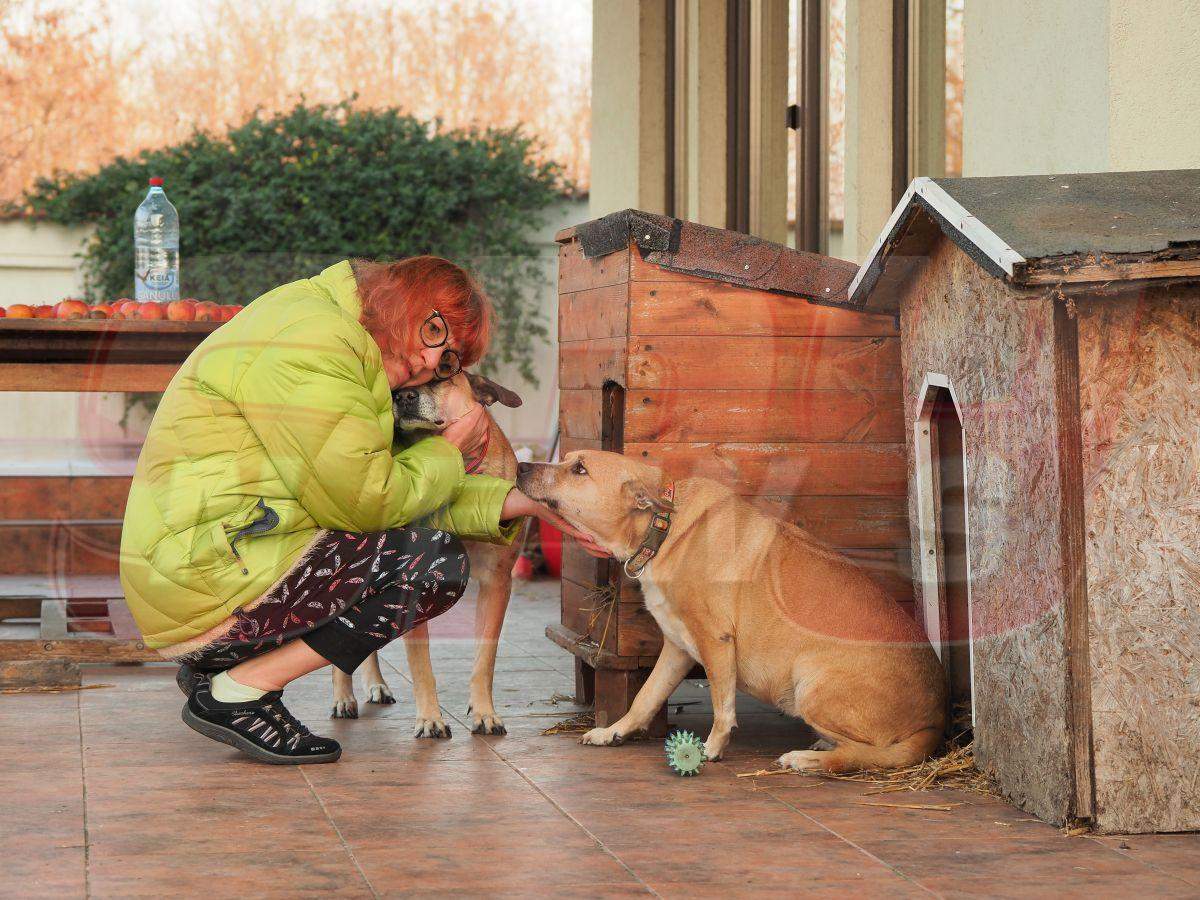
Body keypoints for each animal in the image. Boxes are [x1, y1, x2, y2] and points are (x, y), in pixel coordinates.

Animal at [338, 369, 525, 734]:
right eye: (398, 386)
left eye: (441, 378)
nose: (404, 397)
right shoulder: (414, 585)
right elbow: (421, 664)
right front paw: (430, 719)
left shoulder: (496, 582)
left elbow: (485, 658)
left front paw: (484, 712)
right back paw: (344, 696)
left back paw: (375, 684)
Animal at [516, 453, 945, 772]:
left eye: (579, 469)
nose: (520, 467)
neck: (665, 527)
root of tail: (934, 720)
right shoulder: (677, 647)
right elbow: (645, 698)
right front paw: (614, 732)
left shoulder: (716, 641)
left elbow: (722, 706)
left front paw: (710, 749)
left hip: (810, 684)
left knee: (865, 755)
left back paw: (806, 759)